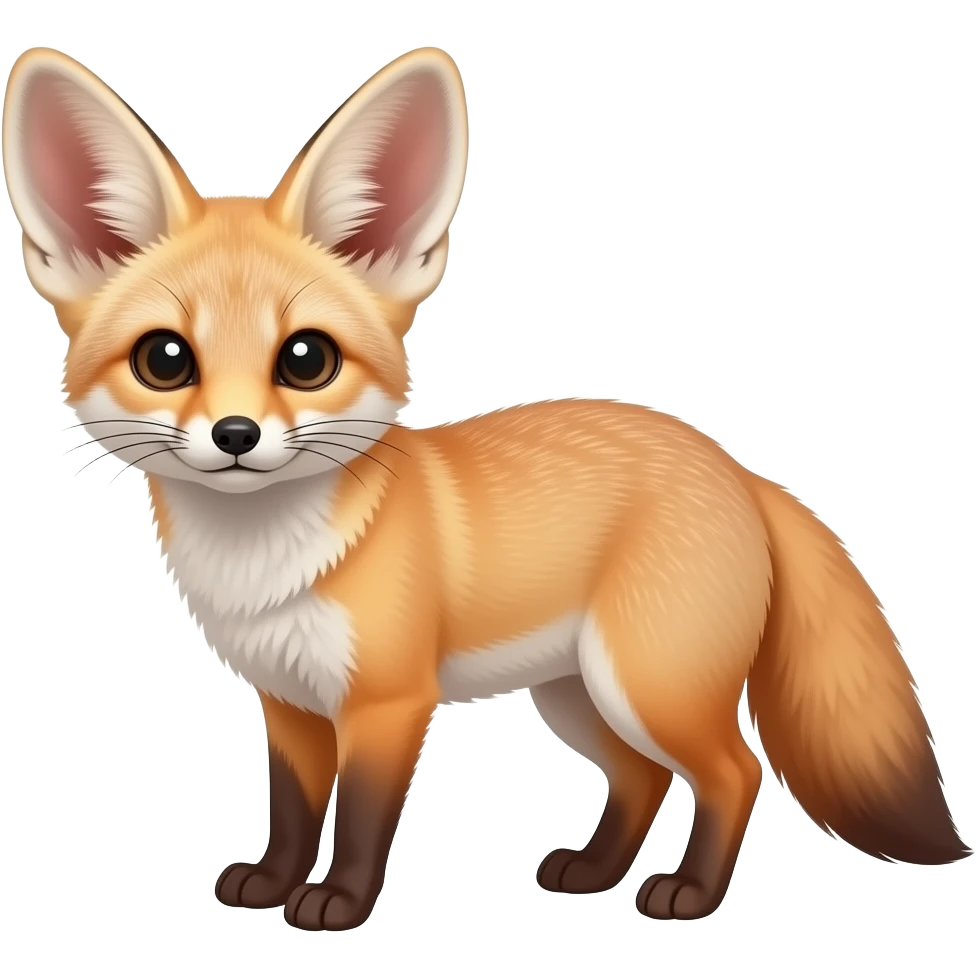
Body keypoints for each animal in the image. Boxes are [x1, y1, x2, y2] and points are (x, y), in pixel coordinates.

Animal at [4, 43, 971, 933]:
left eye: (306, 358)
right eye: (165, 359)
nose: (235, 436)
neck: (267, 568)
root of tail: (736, 467)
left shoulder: (389, 702)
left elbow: (360, 817)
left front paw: (338, 903)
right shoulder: (289, 704)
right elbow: (293, 812)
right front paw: (273, 884)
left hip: (646, 685)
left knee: (736, 770)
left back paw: (688, 894)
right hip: (576, 695)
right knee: (644, 775)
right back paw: (592, 873)